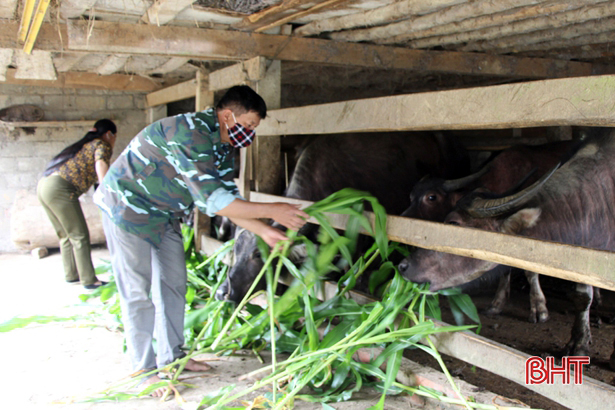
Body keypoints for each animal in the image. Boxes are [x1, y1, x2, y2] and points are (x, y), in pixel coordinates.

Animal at [398, 126, 612, 366]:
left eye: (431, 197)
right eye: (411, 195)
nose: (401, 217)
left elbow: (533, 273)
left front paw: (540, 310)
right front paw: (498, 303)